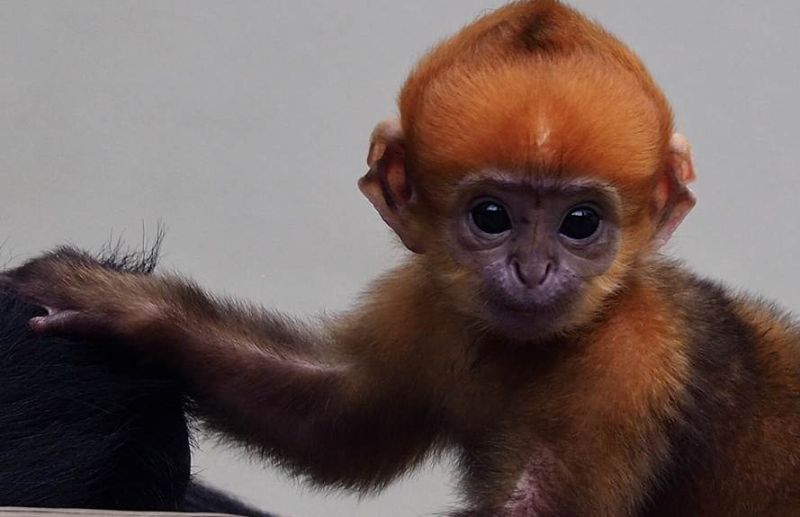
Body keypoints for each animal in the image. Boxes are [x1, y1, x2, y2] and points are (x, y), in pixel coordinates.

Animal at [2, 1, 800, 515]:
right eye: (491, 216)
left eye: (580, 223)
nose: (533, 271)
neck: (539, 349)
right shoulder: (431, 308)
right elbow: (338, 416)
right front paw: (116, 305)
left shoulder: (631, 365)